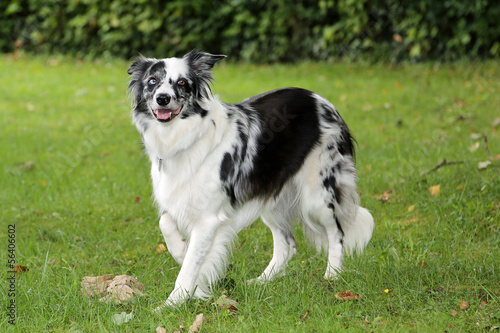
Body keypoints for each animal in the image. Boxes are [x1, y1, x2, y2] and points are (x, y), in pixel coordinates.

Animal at [127, 49, 374, 308]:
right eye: (152, 81)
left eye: (182, 82)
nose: (163, 98)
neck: (182, 137)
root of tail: (321, 100)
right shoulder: (175, 197)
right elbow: (166, 225)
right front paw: (183, 253)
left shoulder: (208, 219)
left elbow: (189, 267)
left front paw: (172, 303)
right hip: (271, 195)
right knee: (287, 244)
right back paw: (262, 281)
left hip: (317, 195)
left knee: (337, 233)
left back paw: (332, 275)